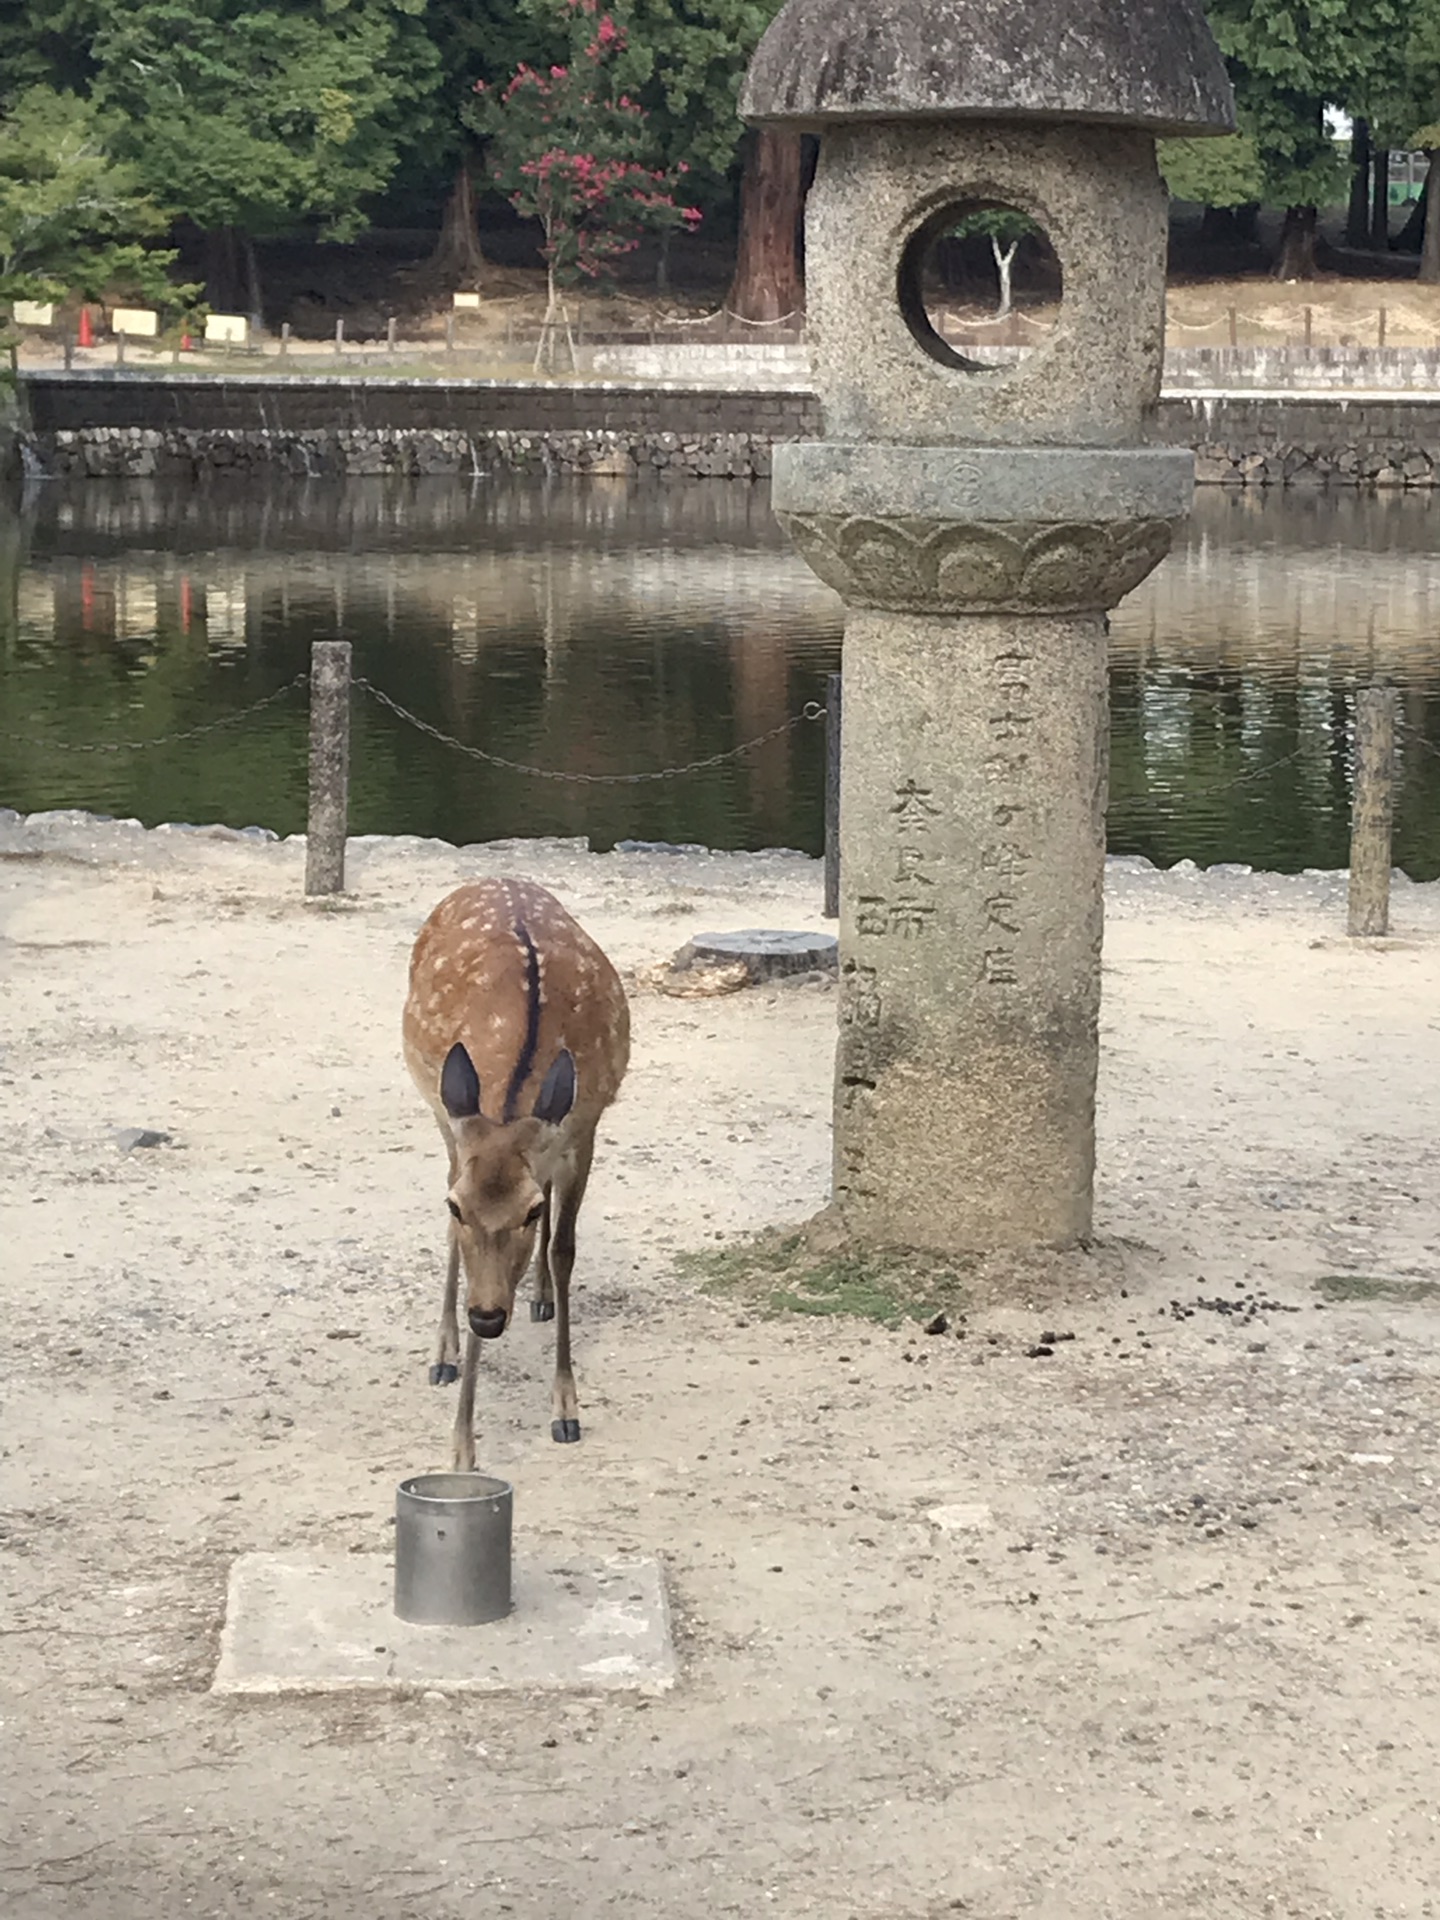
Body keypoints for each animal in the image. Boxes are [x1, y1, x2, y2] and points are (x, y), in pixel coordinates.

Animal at [407, 883, 629, 1466]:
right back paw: (444, 1353)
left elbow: (563, 1249)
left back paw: (542, 1296)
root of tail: (497, 878)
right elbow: (464, 1248)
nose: (486, 1318)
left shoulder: (583, 1129)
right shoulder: (462, 1134)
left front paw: (566, 1409)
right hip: (440, 1111)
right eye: (456, 1206)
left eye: (528, 1212)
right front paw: (462, 1447)